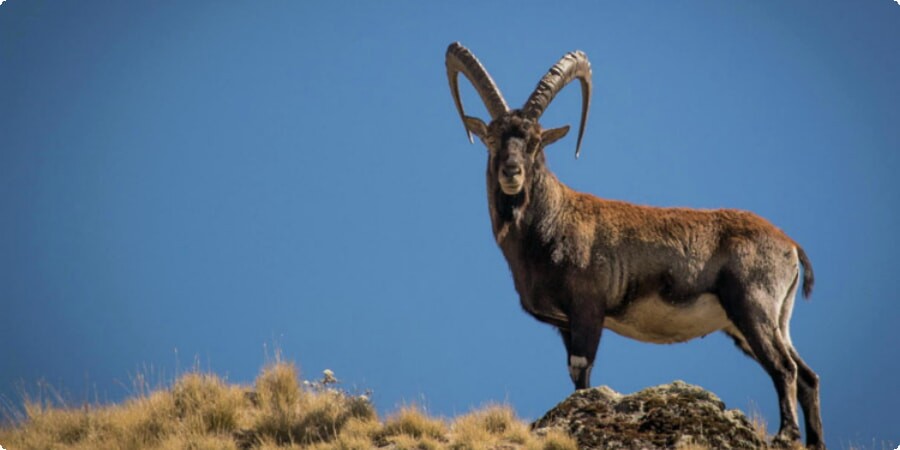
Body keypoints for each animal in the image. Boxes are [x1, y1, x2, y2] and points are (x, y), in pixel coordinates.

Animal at [446, 41, 828, 446]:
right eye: (491, 138)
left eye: (535, 141)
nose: (512, 172)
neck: (553, 222)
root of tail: (790, 245)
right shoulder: (565, 324)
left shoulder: (588, 309)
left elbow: (582, 375)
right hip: (766, 321)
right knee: (807, 375)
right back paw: (814, 441)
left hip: (753, 307)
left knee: (784, 368)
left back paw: (785, 435)